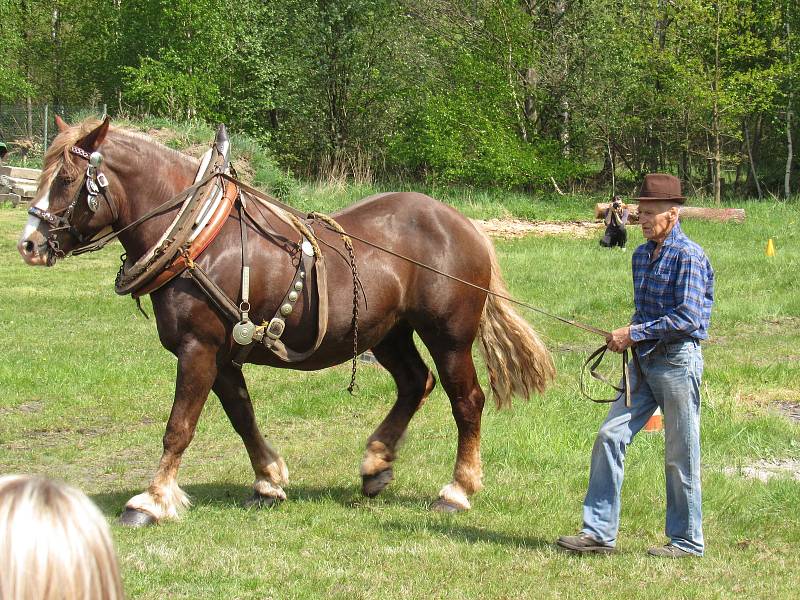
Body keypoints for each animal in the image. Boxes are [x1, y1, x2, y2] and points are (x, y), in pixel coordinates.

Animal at [18, 117, 556, 524]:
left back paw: (458, 489)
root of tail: (466, 226)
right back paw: (376, 462)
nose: (29, 244)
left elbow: (179, 426)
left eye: (66, 179)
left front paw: (150, 500)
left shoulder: (198, 347)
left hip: (448, 336)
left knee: (466, 400)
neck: (199, 237)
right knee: (413, 383)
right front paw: (269, 479)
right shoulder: (222, 353)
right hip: (386, 332)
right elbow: (241, 415)